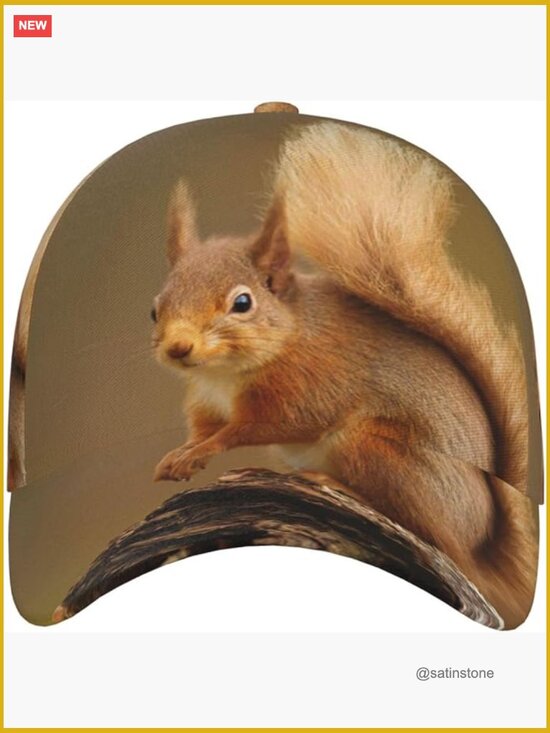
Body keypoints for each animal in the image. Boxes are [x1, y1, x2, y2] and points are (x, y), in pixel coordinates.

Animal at [151, 122, 537, 628]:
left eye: (242, 303)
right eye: (154, 308)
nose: (178, 348)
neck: (226, 374)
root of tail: (482, 542)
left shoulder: (306, 387)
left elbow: (255, 427)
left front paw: (204, 453)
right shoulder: (206, 401)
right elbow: (206, 428)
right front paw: (181, 454)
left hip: (376, 449)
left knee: (431, 535)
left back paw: (332, 483)